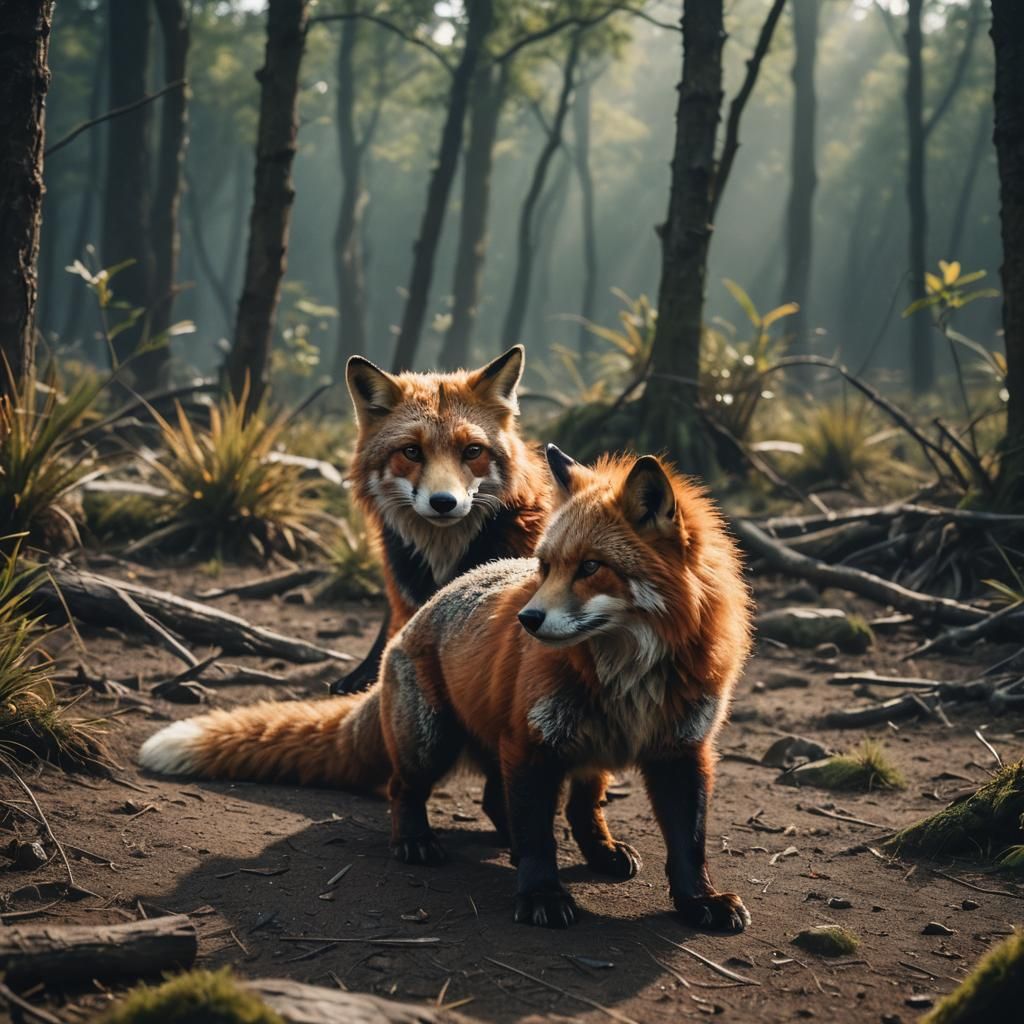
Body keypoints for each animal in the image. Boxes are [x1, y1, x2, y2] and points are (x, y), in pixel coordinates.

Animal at [140, 445, 753, 932]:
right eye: (545, 566)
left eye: (591, 568)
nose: (527, 621)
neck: (630, 675)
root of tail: (412, 620)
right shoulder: (532, 745)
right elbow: (539, 838)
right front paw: (541, 895)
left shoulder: (683, 751)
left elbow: (688, 845)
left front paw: (699, 903)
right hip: (433, 741)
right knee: (407, 790)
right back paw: (416, 841)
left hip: (574, 750)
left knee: (554, 805)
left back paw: (598, 851)